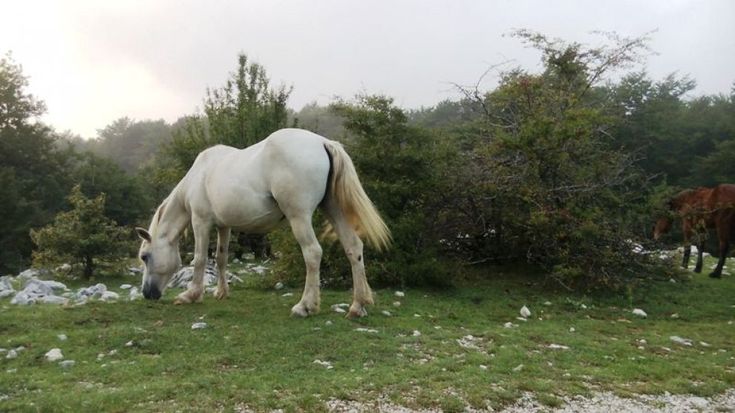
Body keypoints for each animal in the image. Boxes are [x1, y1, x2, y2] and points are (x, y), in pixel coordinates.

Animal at [135, 128, 391, 318]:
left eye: (145, 256)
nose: (147, 293)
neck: (198, 176)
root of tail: (323, 142)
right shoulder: (224, 226)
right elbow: (221, 257)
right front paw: (221, 292)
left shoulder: (201, 222)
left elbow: (199, 259)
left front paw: (190, 295)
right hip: (333, 209)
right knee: (353, 247)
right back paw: (358, 306)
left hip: (299, 217)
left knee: (312, 253)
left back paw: (305, 306)